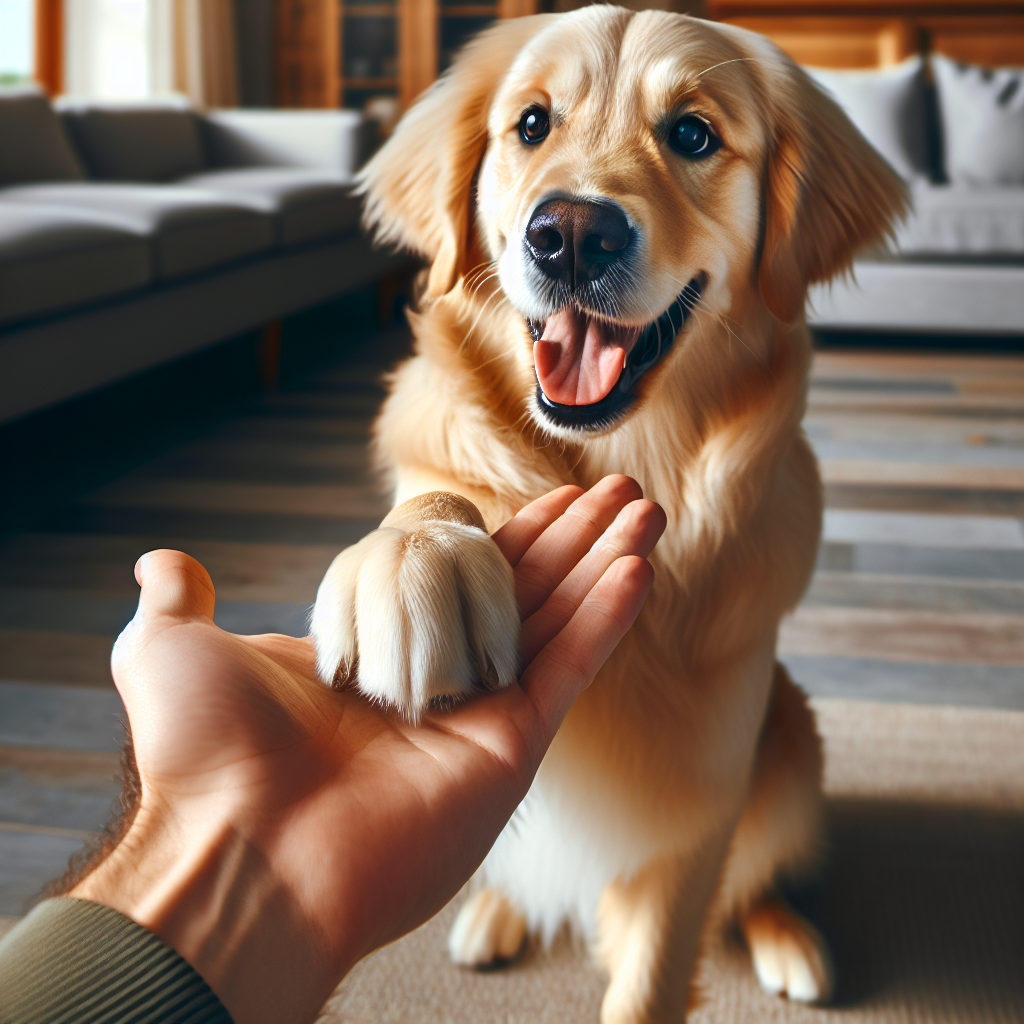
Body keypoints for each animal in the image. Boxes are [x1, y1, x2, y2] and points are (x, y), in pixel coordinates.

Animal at [311, 6, 905, 1015]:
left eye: (694, 135)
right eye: (531, 124)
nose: (572, 234)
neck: (624, 460)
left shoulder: (698, 809)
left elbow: (654, 973)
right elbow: (442, 492)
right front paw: (420, 562)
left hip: (788, 741)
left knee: (760, 874)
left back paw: (786, 939)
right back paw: (491, 917)